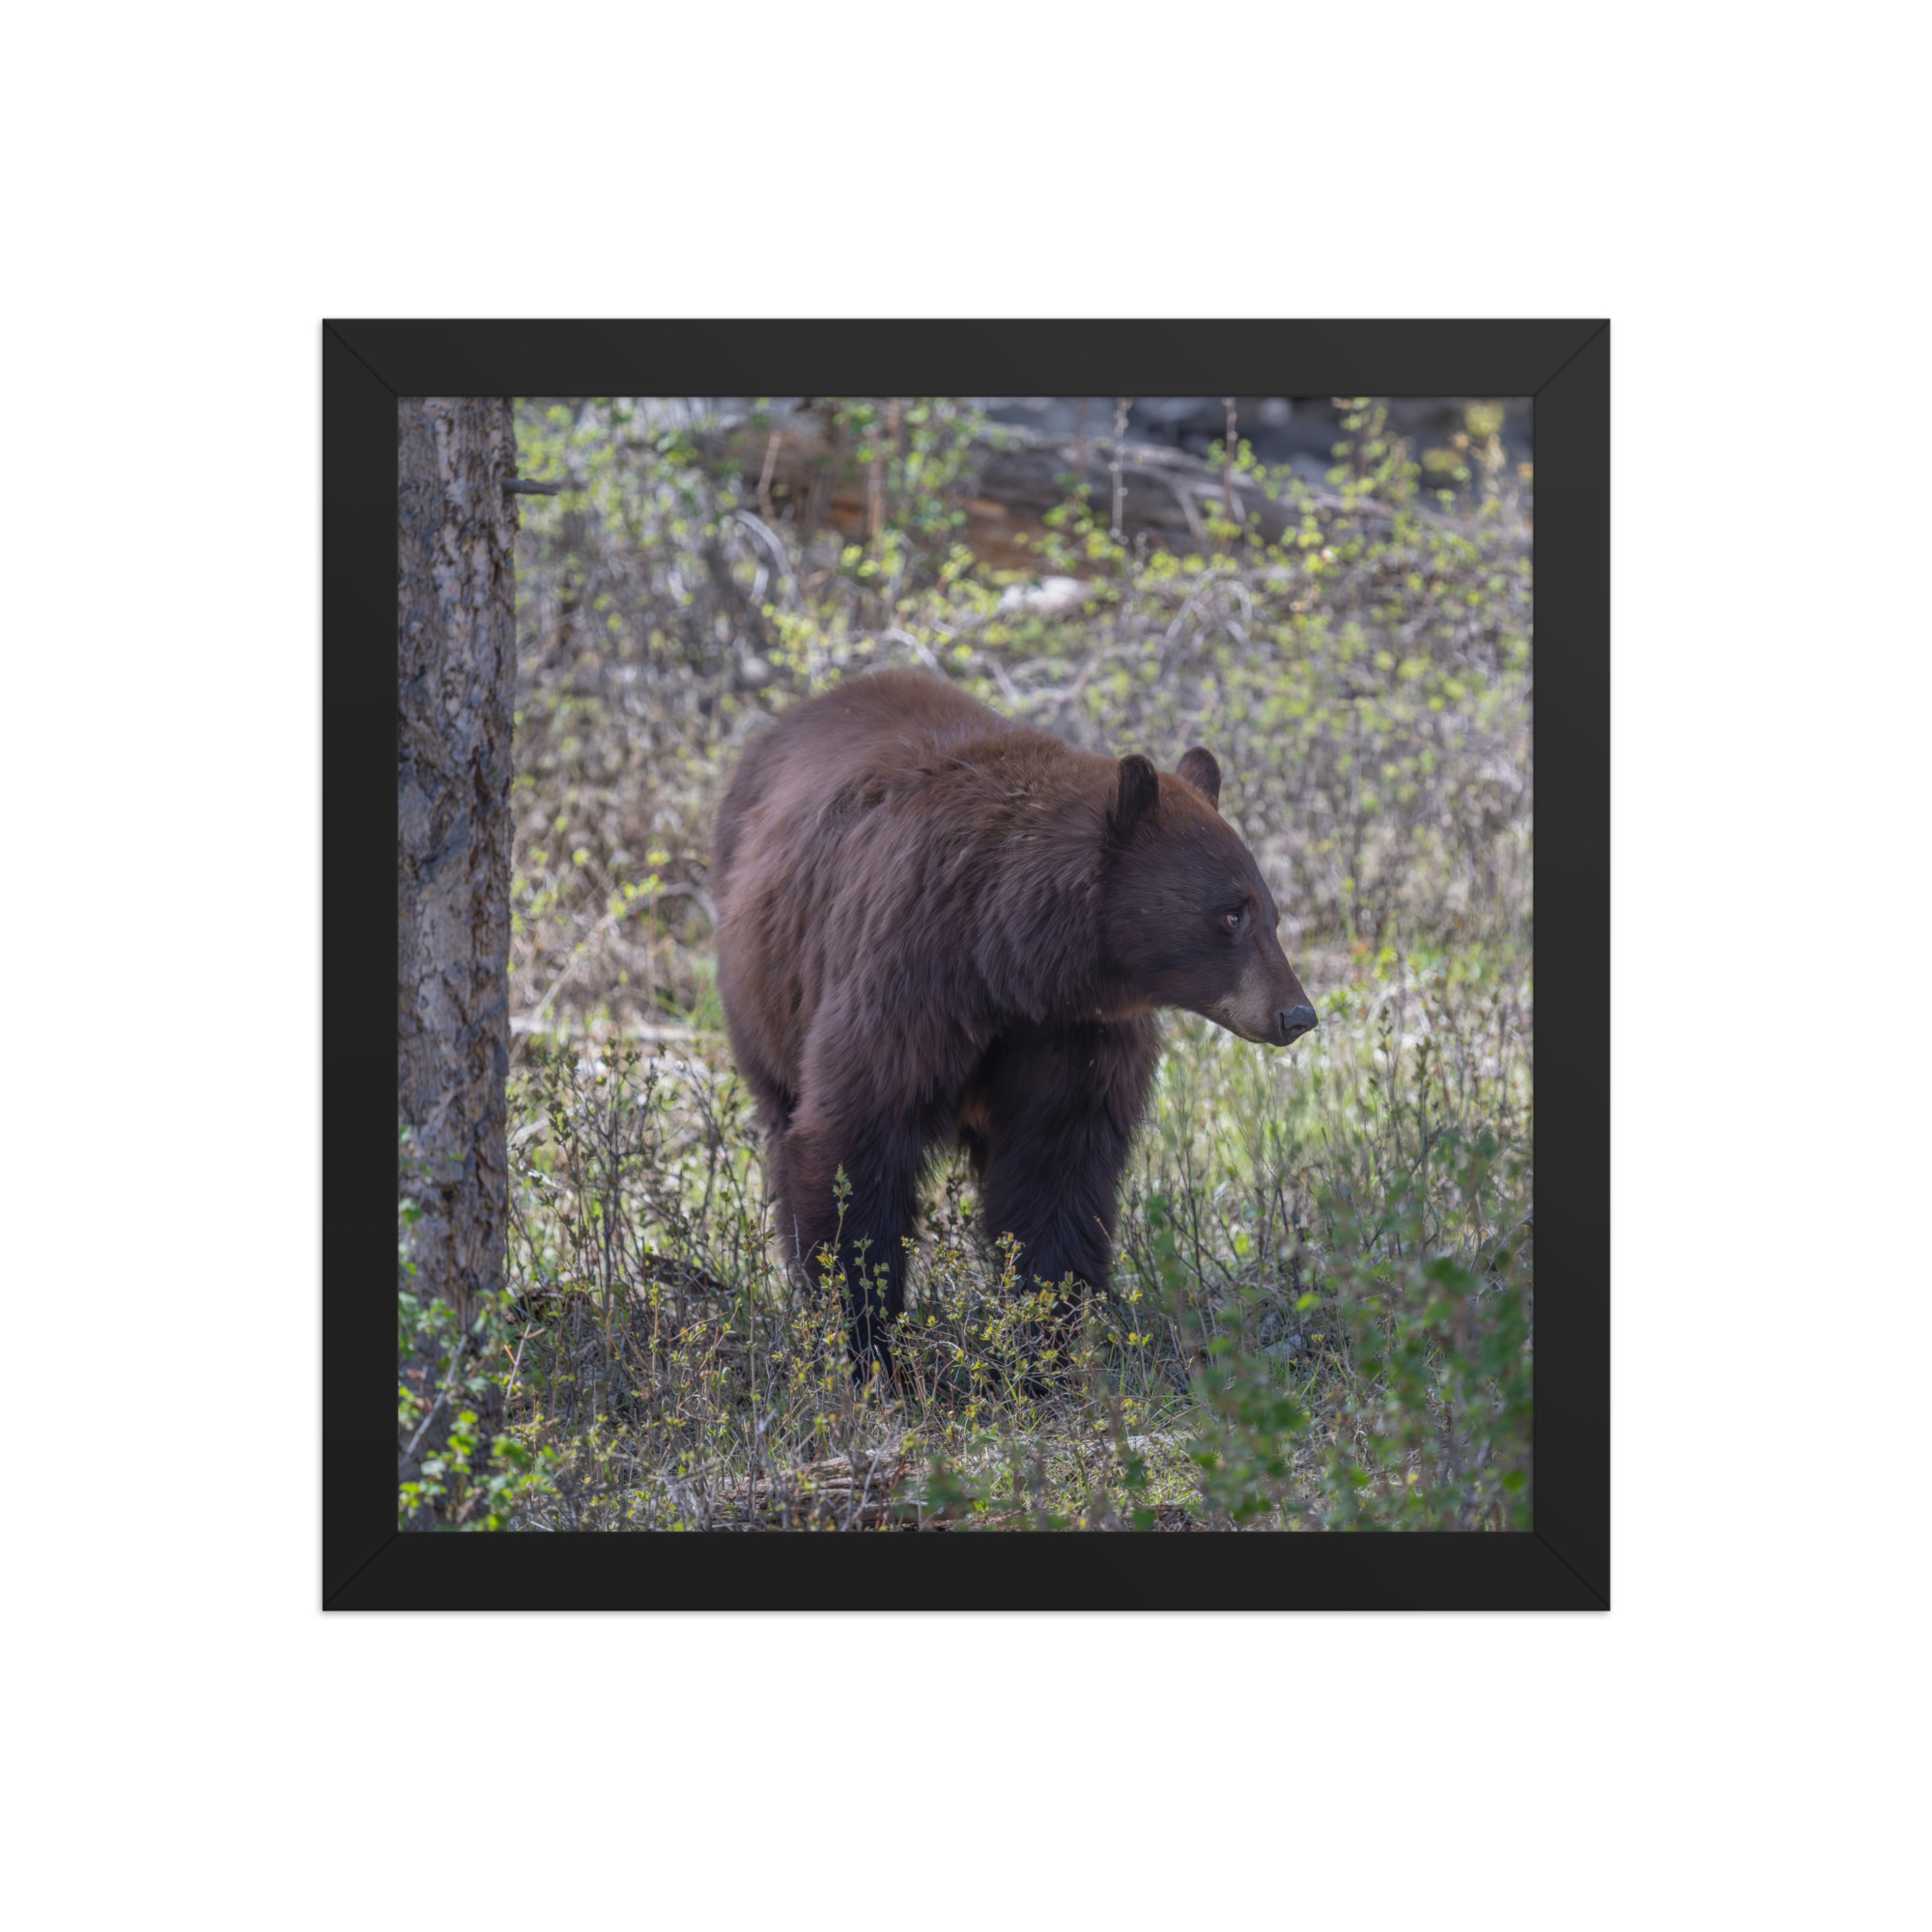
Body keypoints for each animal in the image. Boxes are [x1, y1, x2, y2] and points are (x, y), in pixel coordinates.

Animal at [710, 668, 1316, 1377]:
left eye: (1271, 913)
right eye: (1230, 914)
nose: (1297, 1013)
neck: (1008, 962)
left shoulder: (1073, 1035)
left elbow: (1057, 1171)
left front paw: (1040, 1351)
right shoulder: (907, 980)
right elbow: (854, 1143)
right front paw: (872, 1351)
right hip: (764, 994)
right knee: (783, 1122)